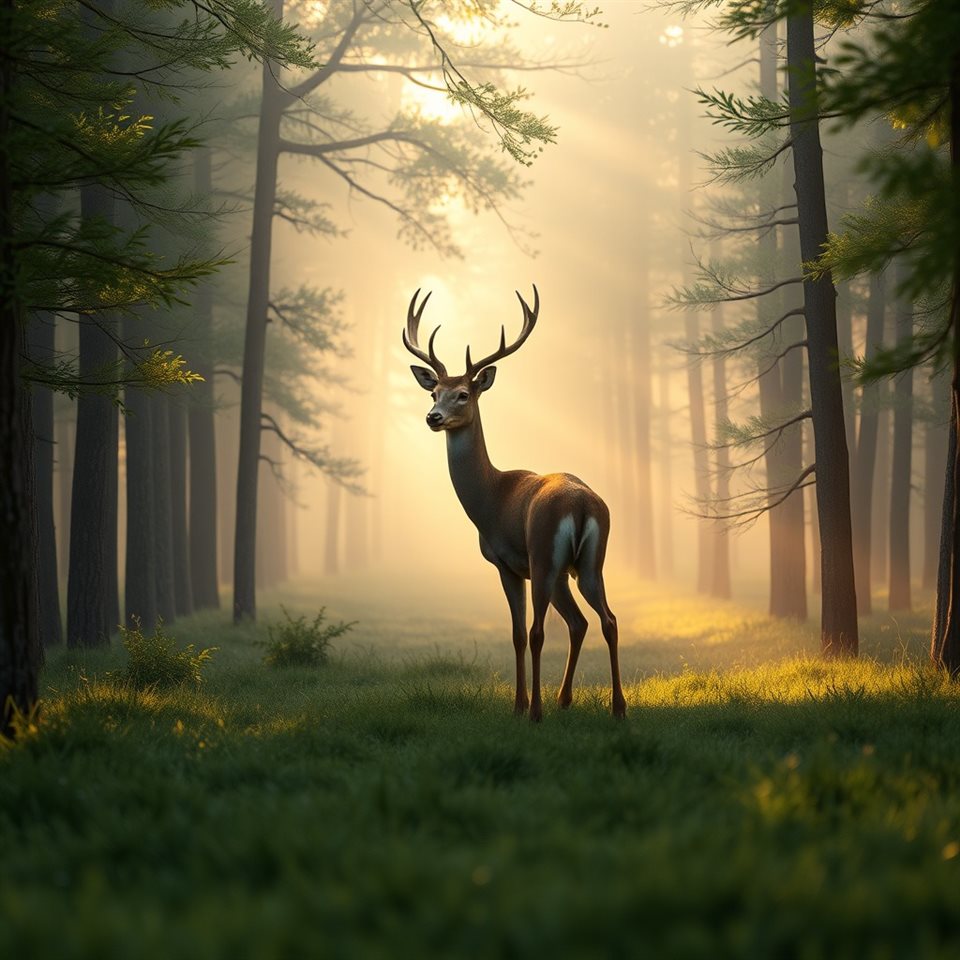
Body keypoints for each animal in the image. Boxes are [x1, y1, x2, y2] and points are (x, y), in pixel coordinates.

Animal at [403, 286, 626, 721]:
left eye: (463, 394)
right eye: (434, 391)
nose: (433, 416)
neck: (491, 498)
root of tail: (582, 506)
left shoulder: (507, 562)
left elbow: (519, 634)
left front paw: (520, 706)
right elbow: (532, 631)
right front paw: (524, 702)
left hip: (545, 556)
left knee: (545, 631)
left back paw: (541, 710)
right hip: (588, 562)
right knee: (601, 620)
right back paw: (606, 706)